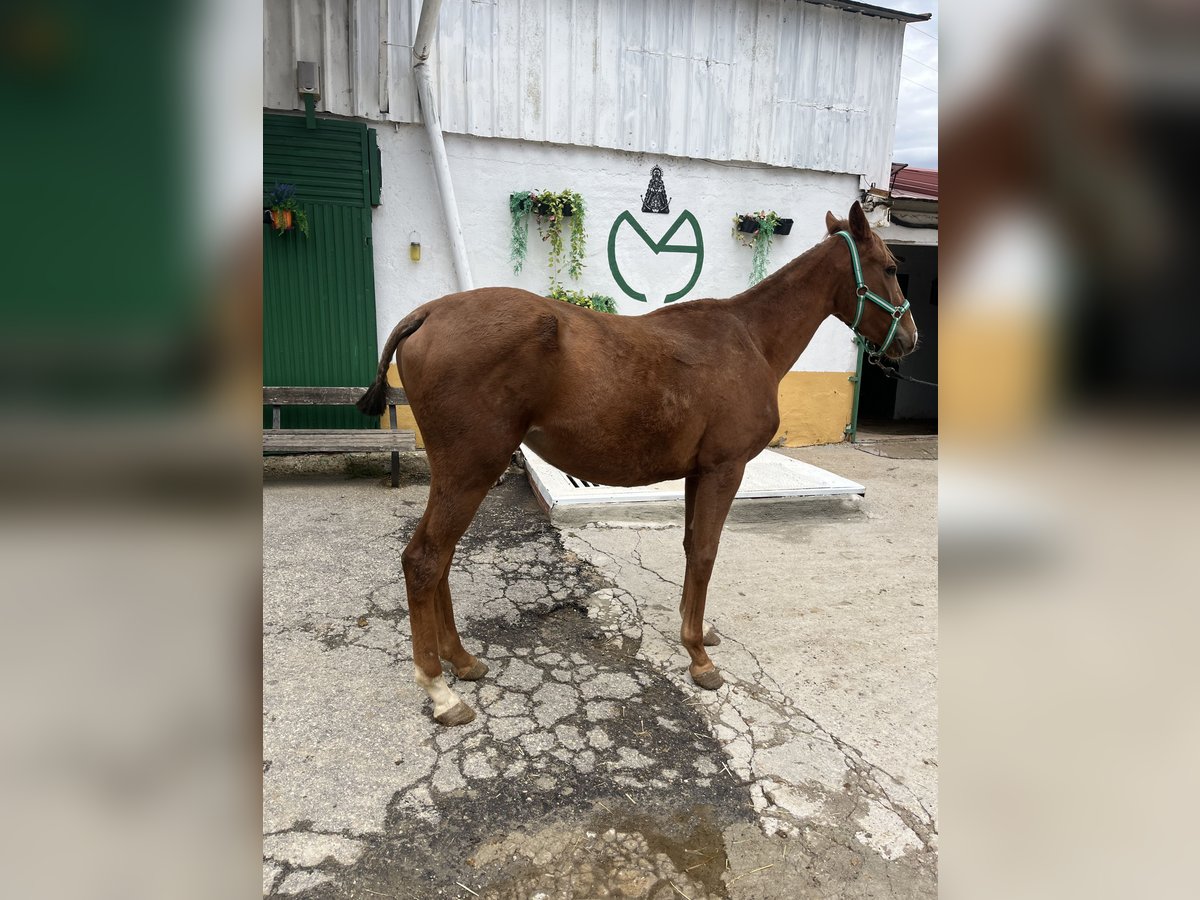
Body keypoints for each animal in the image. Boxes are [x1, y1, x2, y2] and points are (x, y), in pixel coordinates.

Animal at [357, 204, 916, 724]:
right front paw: (698, 658)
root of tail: (429, 312)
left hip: (461, 475)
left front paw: (697, 632)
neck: (749, 339)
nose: (910, 339)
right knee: (425, 561)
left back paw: (462, 660)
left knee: (441, 559)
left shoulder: (698, 474)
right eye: (890, 267)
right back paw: (439, 689)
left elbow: (692, 548)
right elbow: (706, 553)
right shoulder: (724, 470)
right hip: (469, 471)